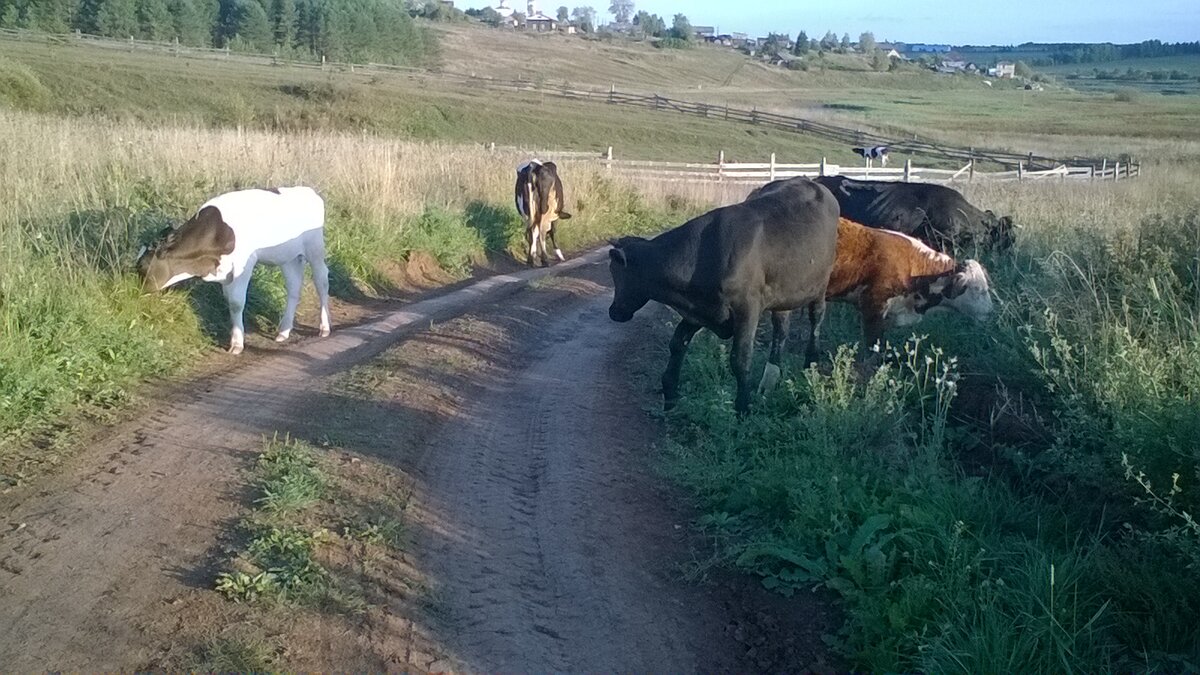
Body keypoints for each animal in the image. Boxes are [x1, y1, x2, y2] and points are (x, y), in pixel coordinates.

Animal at [138, 183, 331, 353]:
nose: (136, 292)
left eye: (141, 266)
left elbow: (237, 303)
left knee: (322, 282)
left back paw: (324, 327)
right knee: (293, 288)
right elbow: (230, 301)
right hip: (288, 258)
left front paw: (237, 344)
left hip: (315, 248)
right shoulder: (225, 272)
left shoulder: (244, 264)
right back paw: (283, 332)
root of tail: (310, 192)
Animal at [604, 176, 840, 413]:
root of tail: (810, 181)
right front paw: (670, 396)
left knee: (816, 320)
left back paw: (810, 364)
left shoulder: (747, 308)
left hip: (820, 285)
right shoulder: (701, 309)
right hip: (783, 294)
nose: (614, 312)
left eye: (617, 274)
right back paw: (769, 381)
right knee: (781, 330)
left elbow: (740, 359)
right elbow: (677, 343)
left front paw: (743, 407)